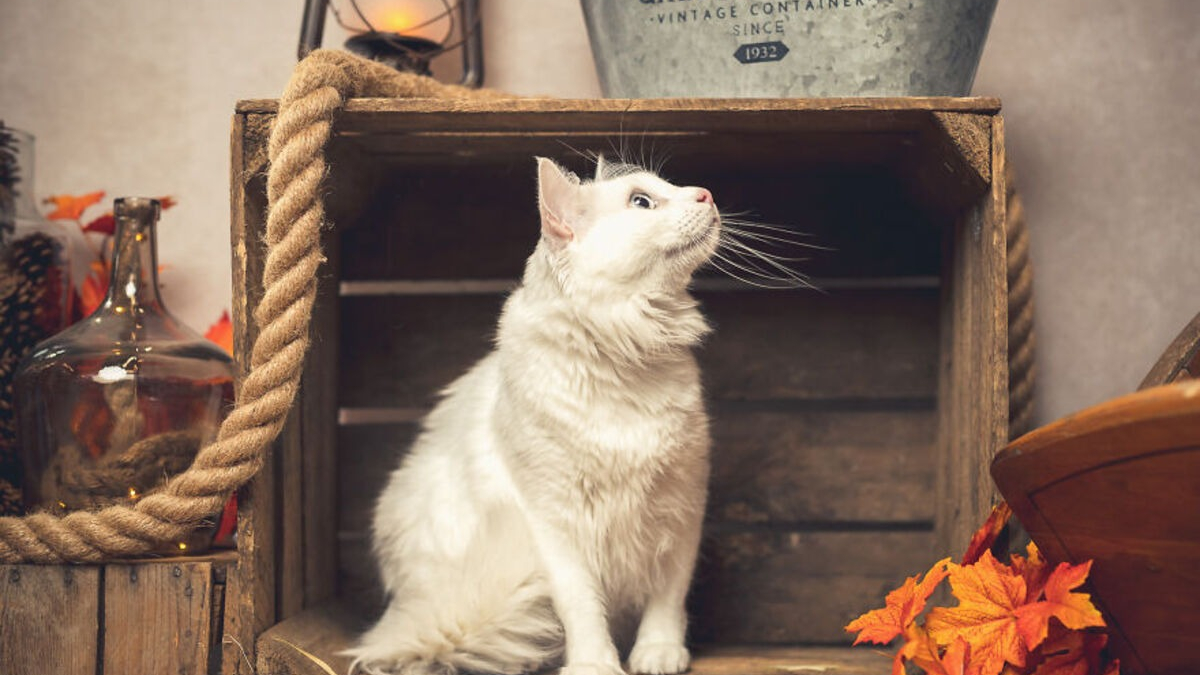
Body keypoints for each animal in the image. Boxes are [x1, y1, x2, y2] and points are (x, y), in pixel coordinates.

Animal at [348, 156, 720, 672]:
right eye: (642, 202)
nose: (706, 194)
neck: (626, 362)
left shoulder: (683, 505)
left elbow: (668, 597)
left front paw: (657, 651)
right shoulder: (555, 521)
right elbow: (582, 607)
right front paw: (594, 664)